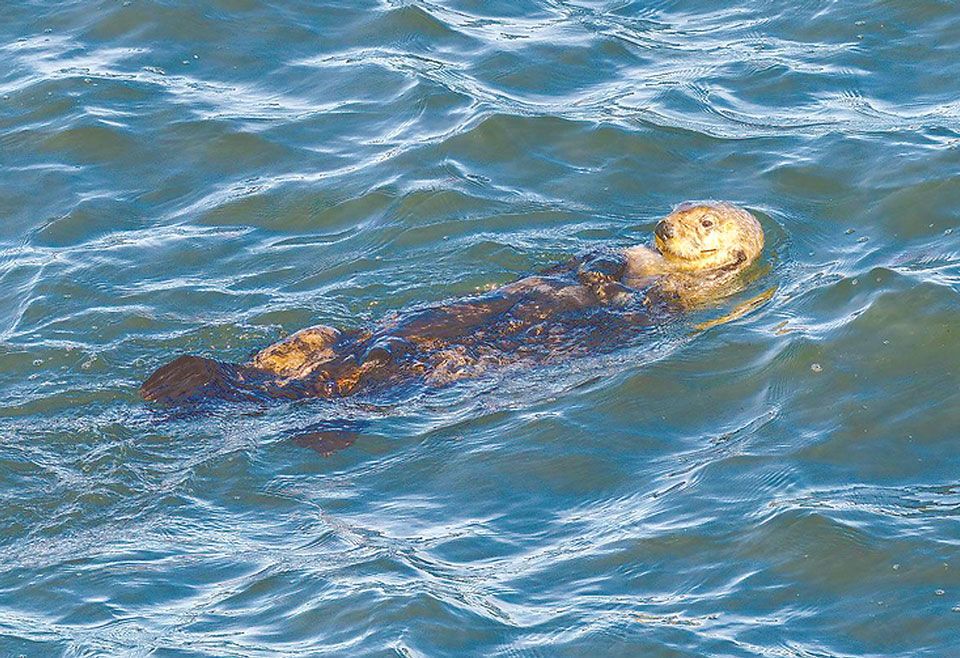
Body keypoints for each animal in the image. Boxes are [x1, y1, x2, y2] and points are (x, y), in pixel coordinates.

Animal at [141, 201, 764, 407]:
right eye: (677, 208)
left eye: (705, 222)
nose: (664, 227)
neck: (655, 266)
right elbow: (588, 263)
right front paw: (594, 263)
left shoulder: (675, 294)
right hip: (319, 341)